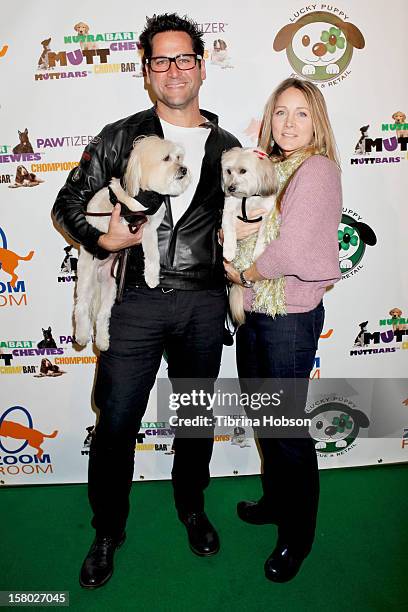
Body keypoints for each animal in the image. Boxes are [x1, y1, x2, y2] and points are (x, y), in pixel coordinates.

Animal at [73, 136, 191, 352]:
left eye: (179, 157)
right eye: (166, 158)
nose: (184, 169)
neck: (146, 193)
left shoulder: (150, 228)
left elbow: (153, 250)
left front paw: (152, 275)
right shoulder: (137, 226)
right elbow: (151, 253)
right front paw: (152, 278)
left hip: (111, 285)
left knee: (103, 315)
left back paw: (102, 341)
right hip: (87, 277)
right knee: (82, 306)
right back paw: (83, 335)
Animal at [222, 148, 278, 326]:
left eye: (243, 171)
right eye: (228, 171)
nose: (230, 188)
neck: (248, 198)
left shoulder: (267, 215)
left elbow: (262, 235)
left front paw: (258, 252)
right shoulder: (229, 211)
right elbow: (229, 230)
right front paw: (229, 250)